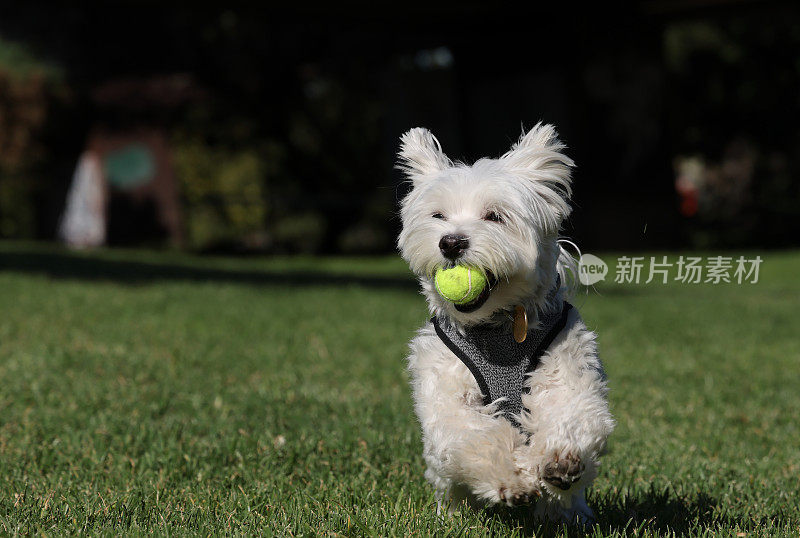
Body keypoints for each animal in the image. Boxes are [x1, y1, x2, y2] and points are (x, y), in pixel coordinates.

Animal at [396, 123, 616, 520]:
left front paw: (560, 459)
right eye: (438, 216)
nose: (451, 243)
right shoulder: (446, 392)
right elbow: (475, 433)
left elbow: (570, 409)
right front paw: (511, 477)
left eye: (495, 216)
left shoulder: (567, 367)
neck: (496, 328)